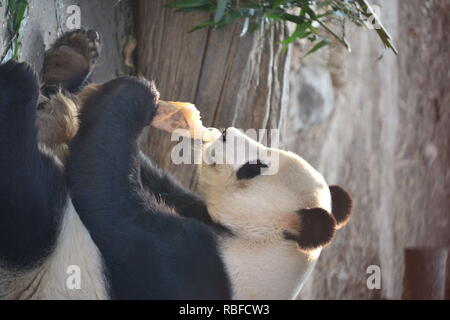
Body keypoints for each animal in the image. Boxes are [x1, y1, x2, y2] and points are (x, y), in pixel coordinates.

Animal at [0, 31, 352, 298]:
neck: (270, 246)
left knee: (29, 202)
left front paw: (135, 95)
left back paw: (19, 85)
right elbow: (150, 179)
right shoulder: (197, 215)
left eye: (253, 168)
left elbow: (109, 204)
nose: (226, 133)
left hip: (43, 265)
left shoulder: (193, 267)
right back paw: (72, 58)